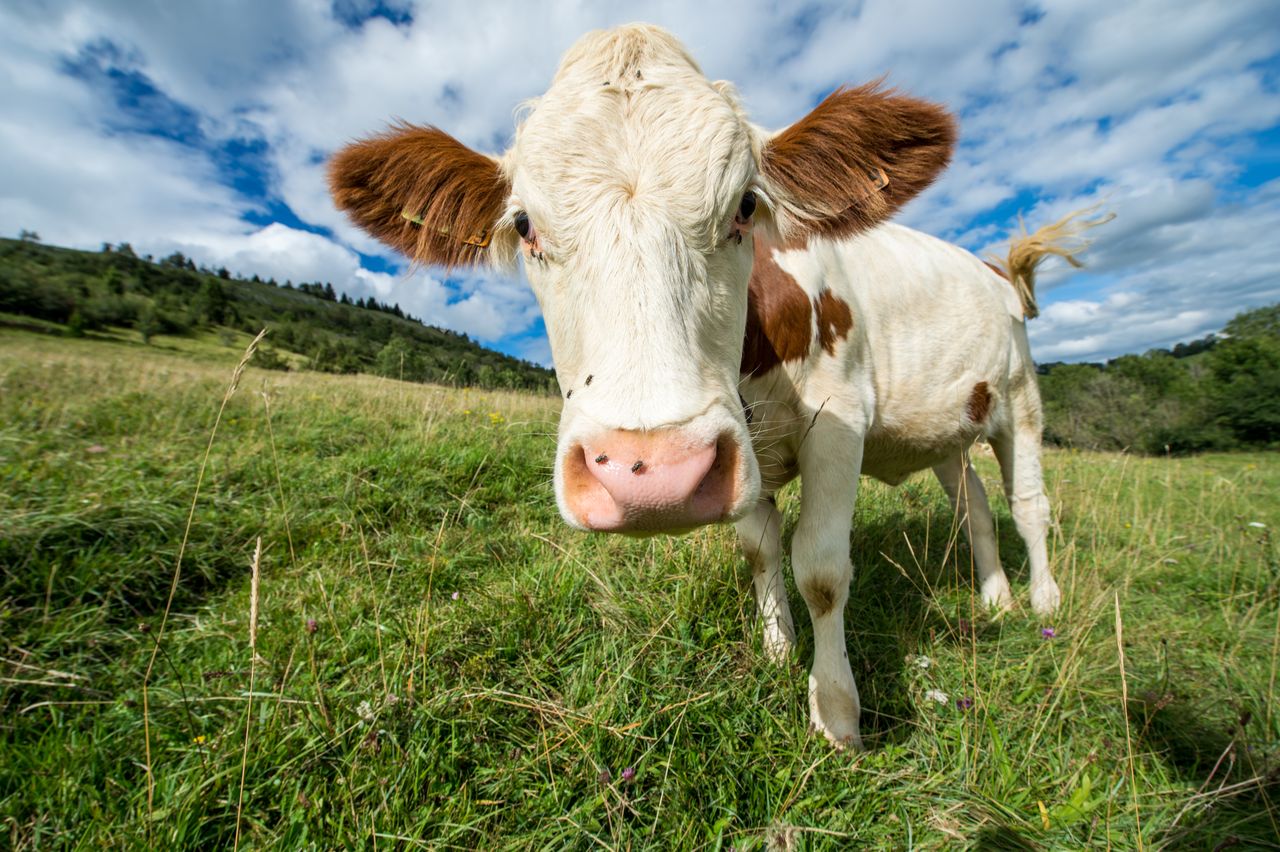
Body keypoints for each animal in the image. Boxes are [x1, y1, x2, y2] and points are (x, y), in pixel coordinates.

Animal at [329, 24, 1100, 750]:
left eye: (746, 206)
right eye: (524, 225)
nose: (649, 473)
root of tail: (994, 269)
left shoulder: (839, 419)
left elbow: (820, 567)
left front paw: (836, 714)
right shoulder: (747, 453)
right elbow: (761, 550)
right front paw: (778, 651)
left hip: (1020, 400)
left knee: (1028, 505)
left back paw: (1043, 602)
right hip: (946, 429)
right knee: (973, 504)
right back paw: (996, 599)